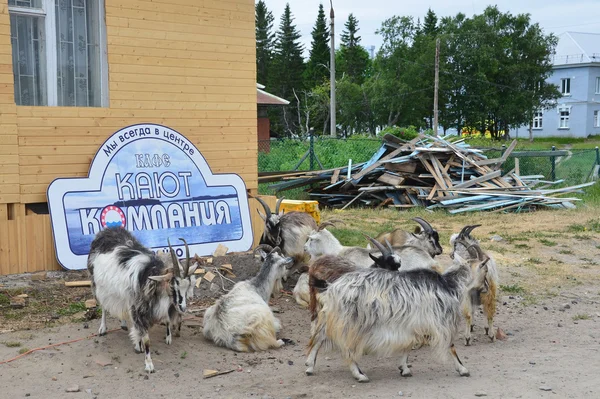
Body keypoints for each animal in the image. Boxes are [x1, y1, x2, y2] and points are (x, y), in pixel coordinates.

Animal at [86, 230, 197, 374]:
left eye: (187, 286)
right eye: (173, 286)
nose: (183, 308)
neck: (148, 277)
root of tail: (105, 232)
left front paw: (161, 339)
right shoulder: (139, 308)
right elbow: (146, 339)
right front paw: (149, 364)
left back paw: (123, 323)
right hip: (97, 285)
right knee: (104, 306)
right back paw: (103, 328)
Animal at [302, 247, 490, 382]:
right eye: (485, 270)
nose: (486, 288)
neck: (449, 285)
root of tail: (331, 287)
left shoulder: (414, 323)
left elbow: (408, 344)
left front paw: (404, 369)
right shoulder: (440, 321)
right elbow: (451, 347)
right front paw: (463, 369)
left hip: (334, 317)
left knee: (319, 338)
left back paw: (310, 366)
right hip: (352, 322)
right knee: (346, 348)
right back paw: (359, 375)